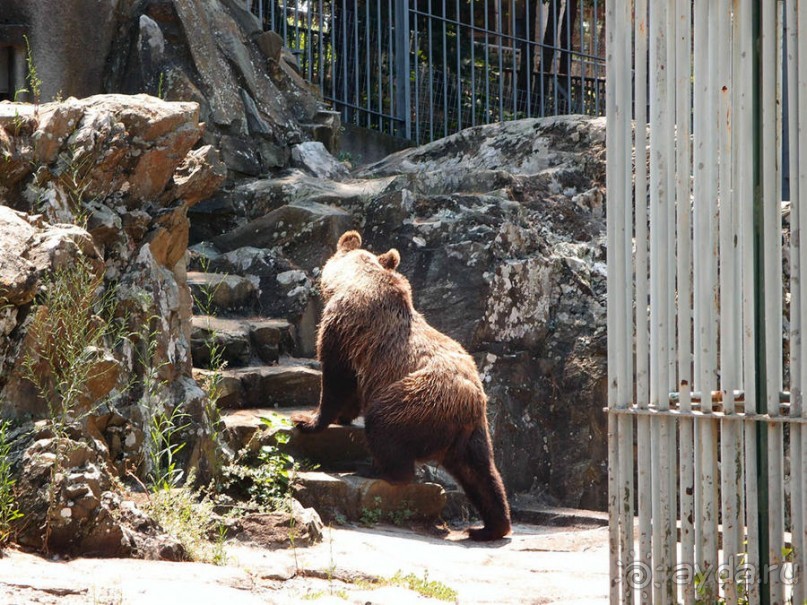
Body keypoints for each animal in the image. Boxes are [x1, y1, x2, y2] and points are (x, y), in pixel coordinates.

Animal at [294, 229, 512, 540]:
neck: (356, 279)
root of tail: (468, 405)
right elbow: (352, 387)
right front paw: (342, 416)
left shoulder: (345, 327)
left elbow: (336, 375)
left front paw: (308, 420)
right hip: (474, 432)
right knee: (482, 473)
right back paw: (489, 527)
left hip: (417, 400)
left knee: (384, 425)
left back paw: (373, 470)